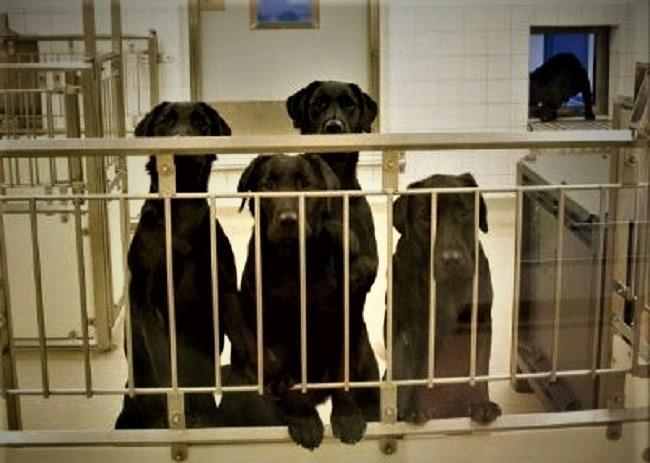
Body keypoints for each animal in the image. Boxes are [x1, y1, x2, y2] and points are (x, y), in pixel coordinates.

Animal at [115, 101, 253, 429]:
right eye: (165, 122)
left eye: (202, 124)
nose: (183, 141)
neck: (180, 215)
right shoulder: (148, 304)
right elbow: (167, 363)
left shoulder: (225, 292)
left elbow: (242, 343)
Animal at [218, 153, 380, 450]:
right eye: (267, 187)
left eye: (306, 185)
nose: (288, 219)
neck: (294, 264)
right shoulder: (270, 336)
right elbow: (282, 373)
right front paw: (304, 419)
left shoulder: (341, 322)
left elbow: (342, 375)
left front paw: (347, 416)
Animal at [390, 173, 501, 425]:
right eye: (425, 218)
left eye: (464, 212)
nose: (452, 259)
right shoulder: (405, 327)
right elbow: (408, 373)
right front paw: (409, 411)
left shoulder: (480, 321)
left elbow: (479, 368)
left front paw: (481, 405)